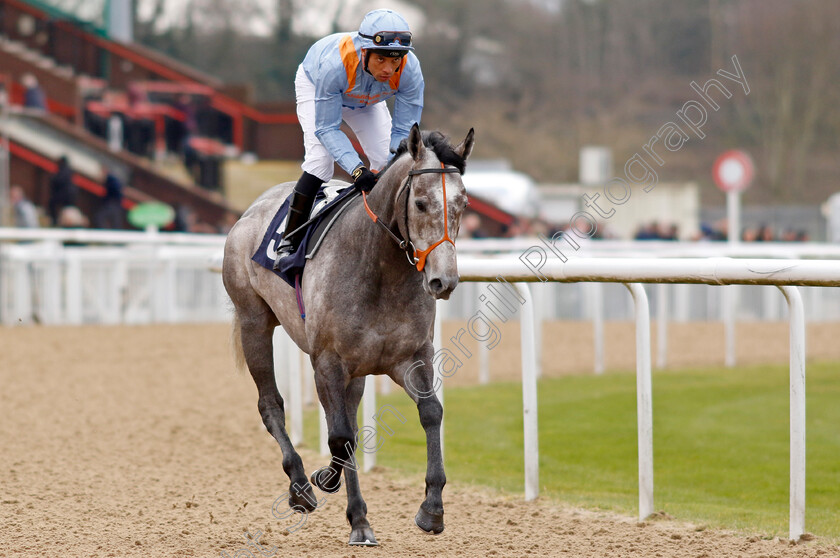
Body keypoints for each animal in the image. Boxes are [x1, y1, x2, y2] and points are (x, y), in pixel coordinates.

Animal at [221, 126, 472, 548]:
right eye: (421, 203)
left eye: (462, 204)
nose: (444, 280)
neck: (380, 268)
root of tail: (252, 208)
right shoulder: (327, 362)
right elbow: (341, 435)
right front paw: (352, 512)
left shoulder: (410, 357)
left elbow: (430, 413)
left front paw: (432, 509)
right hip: (254, 322)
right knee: (271, 404)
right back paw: (301, 486)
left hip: (354, 371)